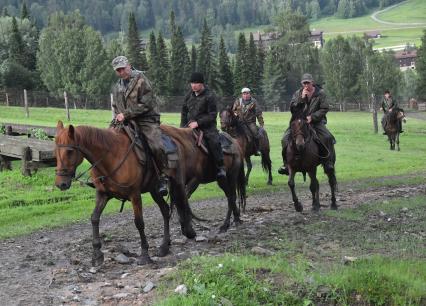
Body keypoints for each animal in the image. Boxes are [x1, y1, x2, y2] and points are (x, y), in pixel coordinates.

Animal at [55, 121, 245, 266]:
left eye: (70, 151)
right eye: (55, 151)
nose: (61, 184)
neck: (112, 156)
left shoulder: (134, 194)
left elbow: (139, 223)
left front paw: (145, 255)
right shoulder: (103, 194)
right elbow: (94, 218)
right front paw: (97, 254)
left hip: (216, 179)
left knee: (228, 197)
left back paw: (223, 225)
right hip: (156, 190)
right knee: (166, 211)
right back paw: (164, 246)